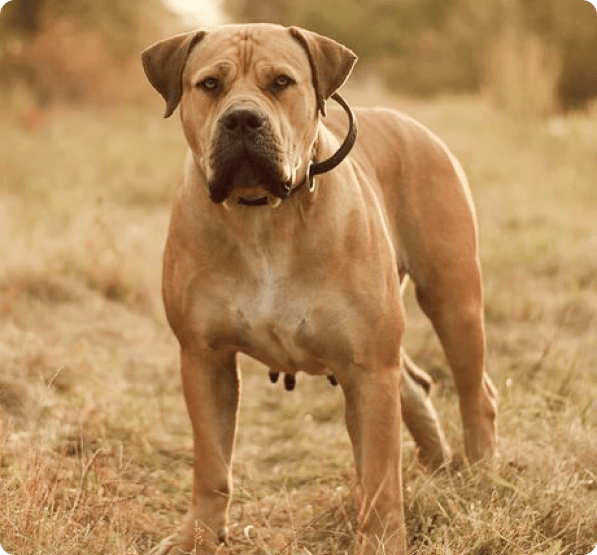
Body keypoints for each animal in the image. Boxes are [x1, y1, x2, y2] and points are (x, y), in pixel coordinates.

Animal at [141, 23, 498, 552]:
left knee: (477, 396)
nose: (242, 119)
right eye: (209, 85)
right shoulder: (205, 359)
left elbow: (379, 471)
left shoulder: (367, 367)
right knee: (415, 387)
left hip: (452, 301)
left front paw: (382, 540)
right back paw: (437, 469)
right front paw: (198, 537)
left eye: (281, 83)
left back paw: (481, 478)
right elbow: (211, 464)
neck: (261, 214)